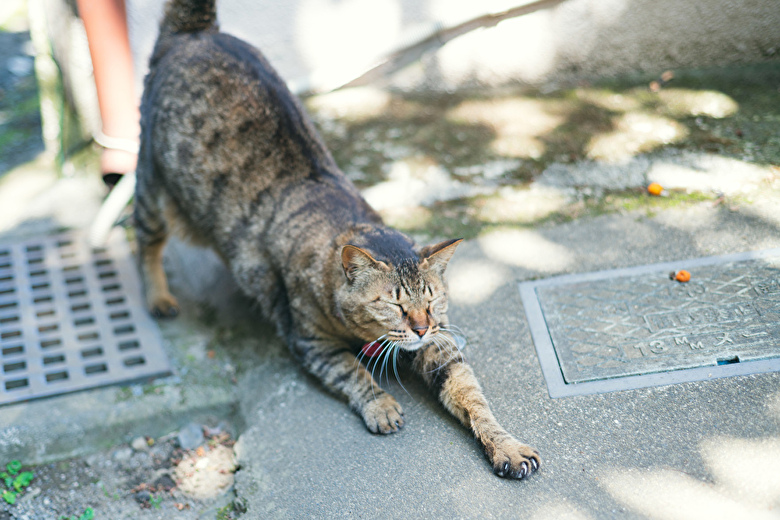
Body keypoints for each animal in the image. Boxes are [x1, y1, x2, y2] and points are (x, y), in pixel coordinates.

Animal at [134, 0, 536, 480]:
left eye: (432, 299)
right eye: (394, 304)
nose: (420, 326)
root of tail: (196, 32)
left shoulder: (439, 346)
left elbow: (472, 396)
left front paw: (506, 444)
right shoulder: (311, 342)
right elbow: (353, 373)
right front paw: (380, 404)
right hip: (152, 189)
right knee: (145, 242)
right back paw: (158, 297)